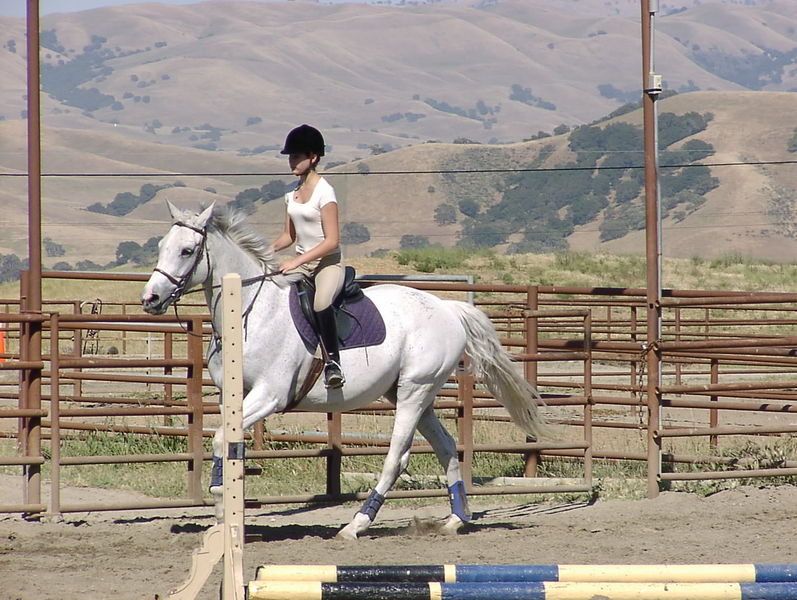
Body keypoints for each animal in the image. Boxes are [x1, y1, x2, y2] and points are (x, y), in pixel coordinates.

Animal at [141, 201, 547, 539]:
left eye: (187, 251)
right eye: (162, 246)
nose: (150, 299)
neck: (249, 312)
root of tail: (448, 308)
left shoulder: (270, 395)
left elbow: (222, 439)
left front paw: (223, 508)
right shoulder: (234, 395)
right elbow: (229, 446)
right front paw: (226, 514)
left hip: (414, 393)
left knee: (396, 457)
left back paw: (356, 525)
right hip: (413, 394)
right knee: (447, 447)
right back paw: (455, 520)